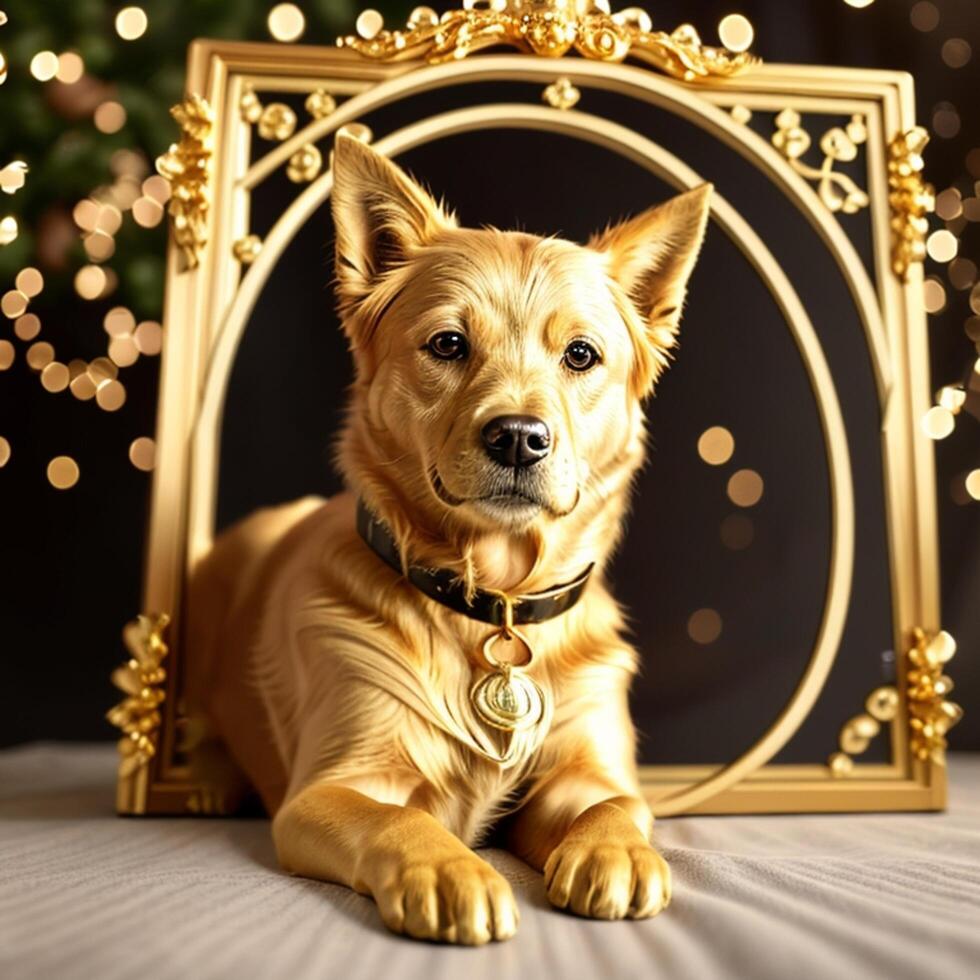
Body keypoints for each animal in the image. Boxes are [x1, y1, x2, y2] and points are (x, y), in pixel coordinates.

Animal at [184, 134, 708, 944]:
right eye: (449, 343)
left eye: (581, 355)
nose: (519, 437)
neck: (493, 601)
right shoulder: (332, 787)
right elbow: (397, 821)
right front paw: (449, 871)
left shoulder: (583, 768)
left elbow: (617, 804)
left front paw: (612, 852)